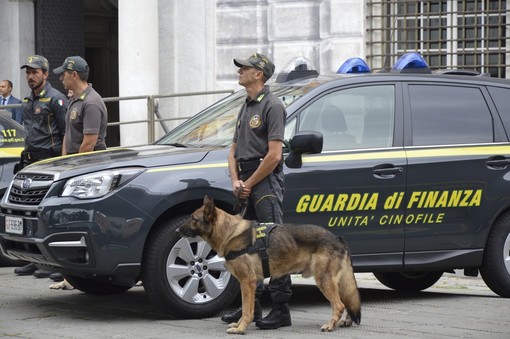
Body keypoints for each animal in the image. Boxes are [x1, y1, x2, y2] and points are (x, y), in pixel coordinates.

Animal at [177, 197, 360, 334]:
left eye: (193, 218)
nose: (177, 230)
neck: (229, 232)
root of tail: (338, 238)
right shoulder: (249, 284)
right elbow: (247, 307)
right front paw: (239, 324)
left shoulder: (247, 282)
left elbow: (247, 309)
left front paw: (241, 328)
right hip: (335, 281)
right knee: (348, 300)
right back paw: (347, 321)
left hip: (323, 280)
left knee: (339, 305)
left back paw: (330, 325)